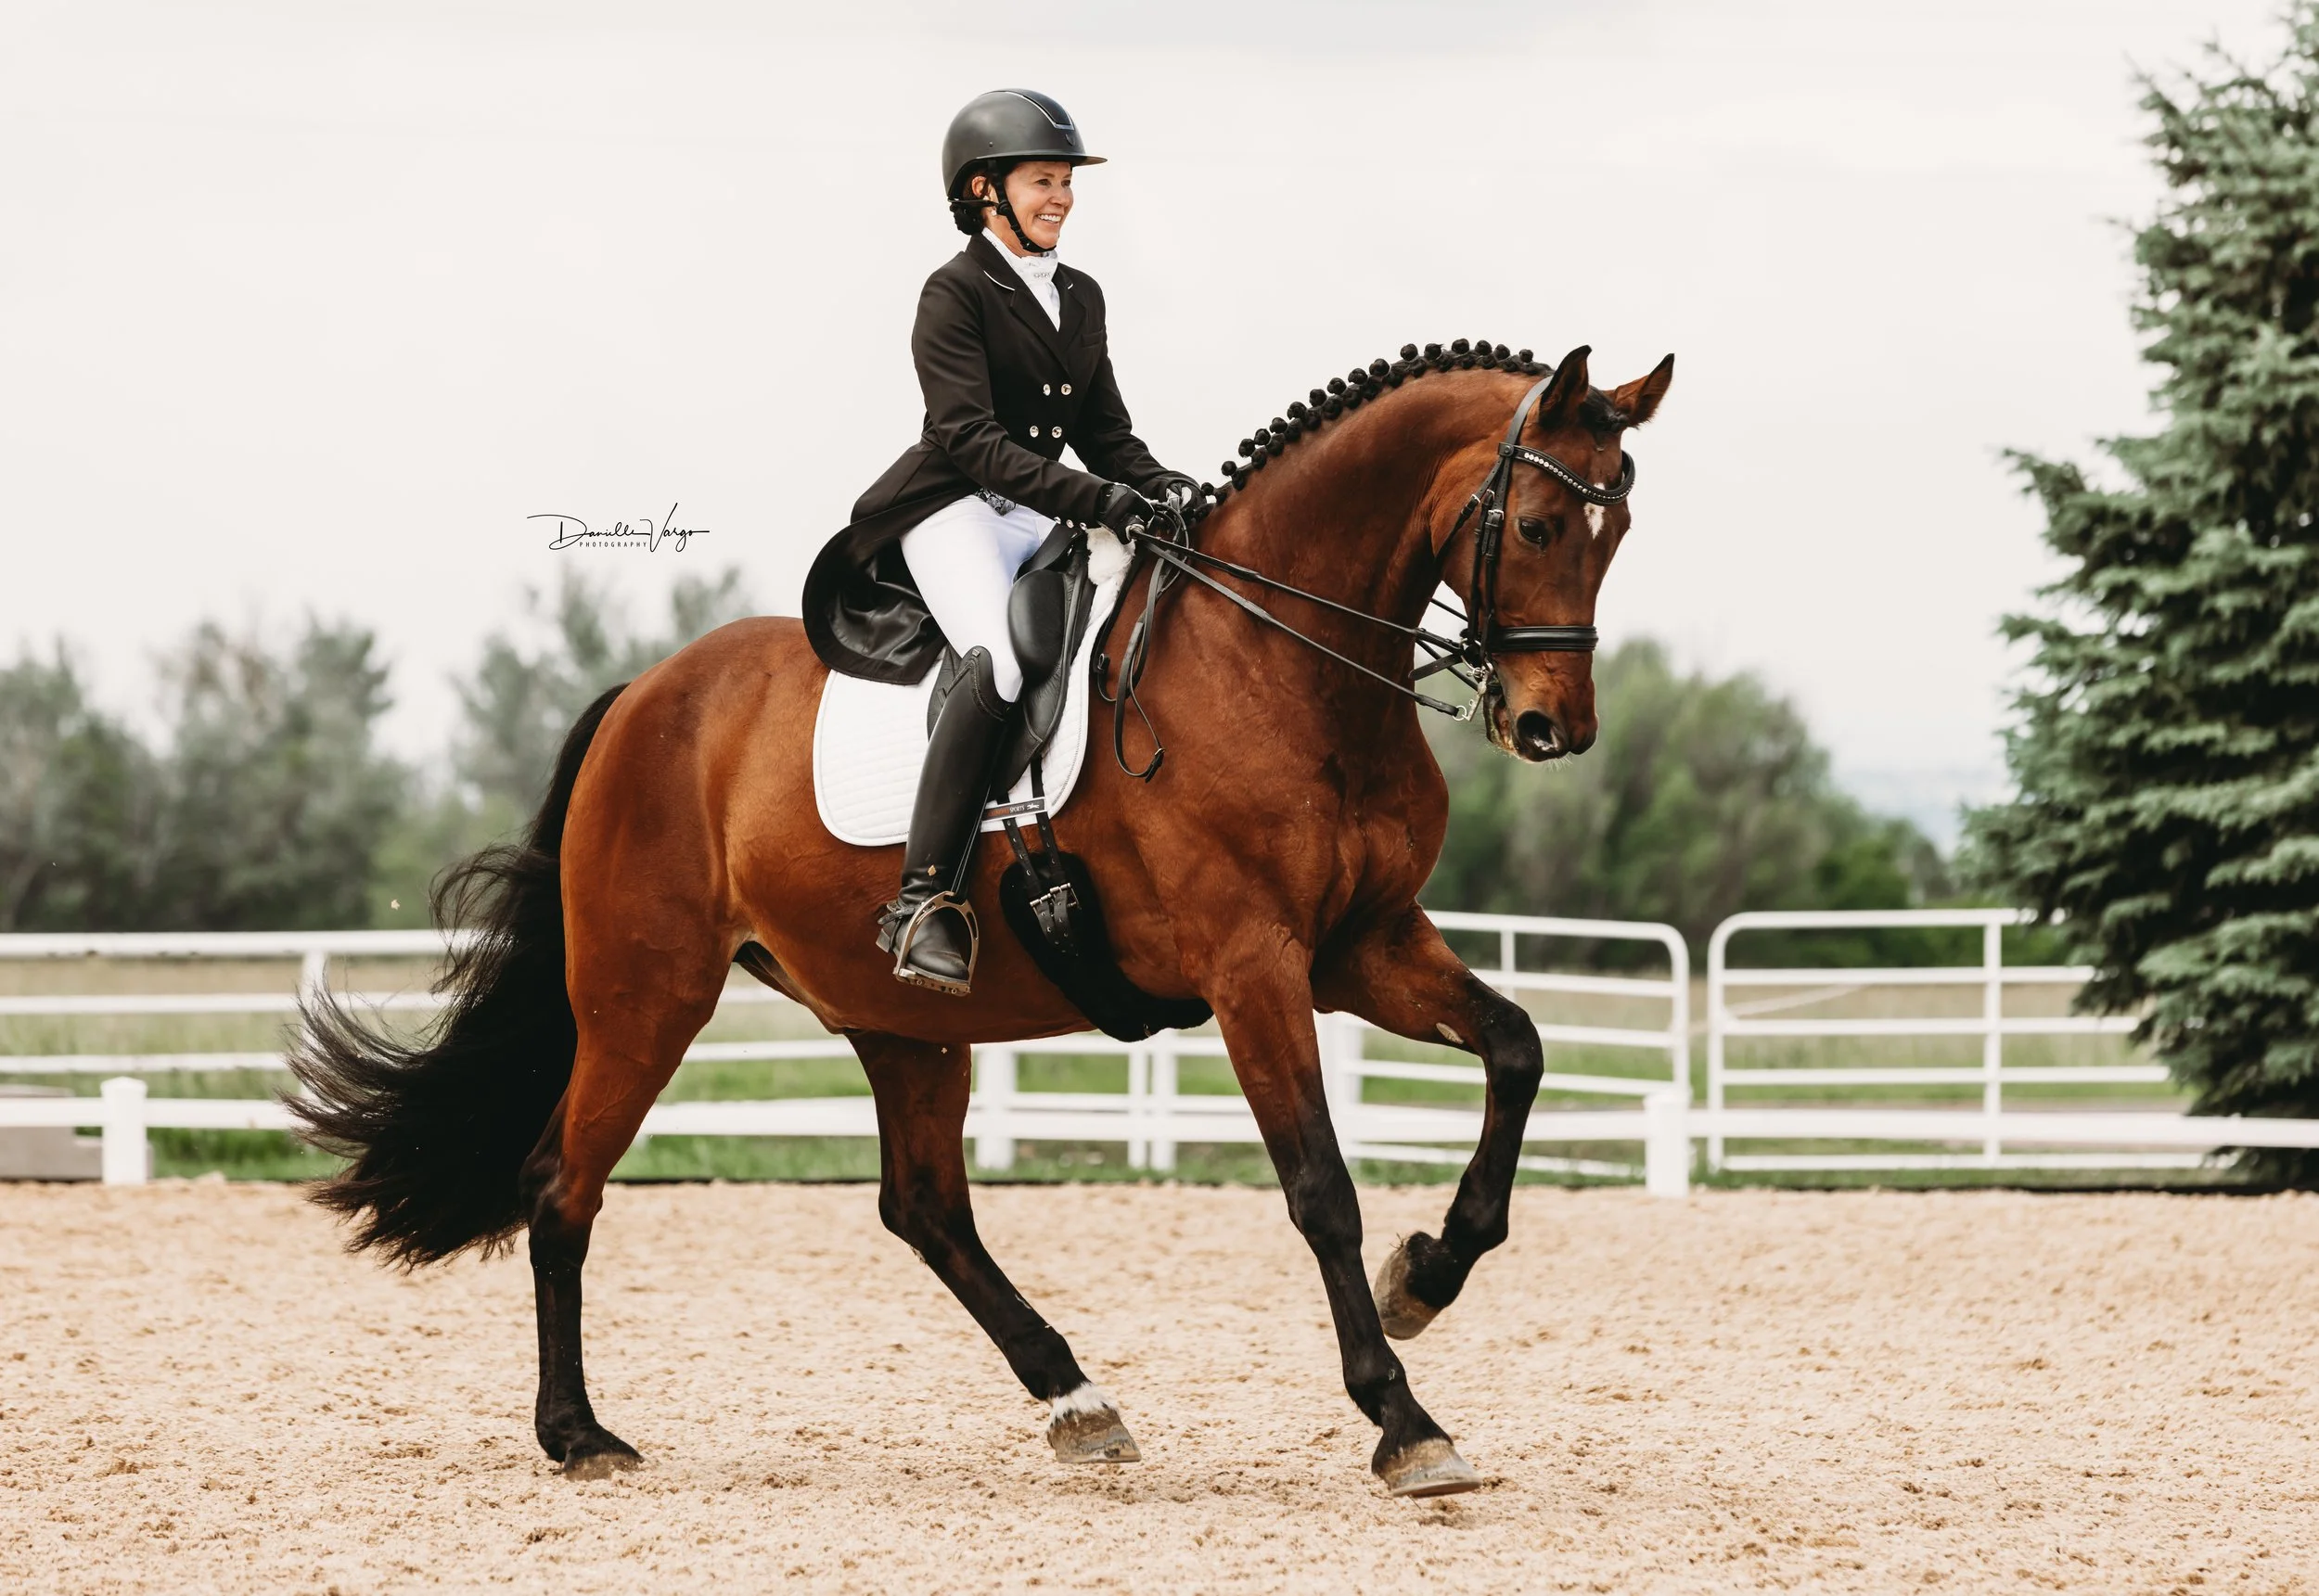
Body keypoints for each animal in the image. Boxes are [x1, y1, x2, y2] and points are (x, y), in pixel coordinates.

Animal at [289, 337, 1674, 1499]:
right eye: (1538, 521)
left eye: (1617, 530)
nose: (1551, 726)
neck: (1281, 662)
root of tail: (643, 695)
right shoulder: (1255, 967)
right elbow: (1319, 1186)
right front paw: (1404, 1419)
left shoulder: (1364, 943)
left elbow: (1516, 1049)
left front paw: (1427, 1273)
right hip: (647, 996)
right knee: (561, 1185)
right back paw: (579, 1433)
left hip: (898, 1014)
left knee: (923, 1207)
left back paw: (1079, 1401)